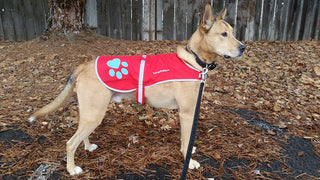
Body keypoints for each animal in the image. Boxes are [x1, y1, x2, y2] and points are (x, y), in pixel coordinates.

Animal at [29, 3, 245, 176]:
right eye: (224, 34)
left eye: (232, 32)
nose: (243, 47)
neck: (194, 60)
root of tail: (84, 64)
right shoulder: (186, 113)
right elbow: (185, 140)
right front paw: (188, 161)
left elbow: (187, 139)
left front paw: (190, 151)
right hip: (94, 114)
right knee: (70, 143)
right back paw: (71, 169)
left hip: (90, 113)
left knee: (82, 135)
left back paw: (88, 146)